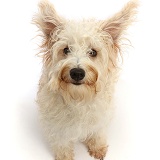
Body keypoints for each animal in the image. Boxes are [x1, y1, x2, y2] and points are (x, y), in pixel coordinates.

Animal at [32, 0, 138, 159]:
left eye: (93, 52)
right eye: (66, 50)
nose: (77, 72)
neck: (78, 98)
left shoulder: (100, 117)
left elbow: (97, 133)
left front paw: (98, 147)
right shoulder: (57, 125)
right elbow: (61, 142)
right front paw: (64, 156)